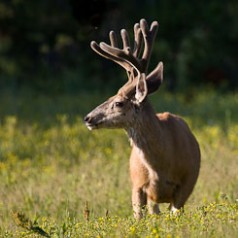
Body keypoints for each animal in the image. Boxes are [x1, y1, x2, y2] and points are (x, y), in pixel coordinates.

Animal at [84, 18, 200, 219]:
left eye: (118, 103)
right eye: (109, 96)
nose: (87, 118)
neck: (161, 166)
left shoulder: (185, 186)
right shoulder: (137, 186)